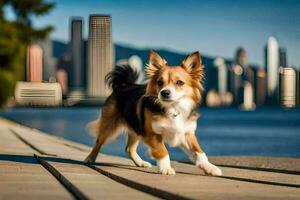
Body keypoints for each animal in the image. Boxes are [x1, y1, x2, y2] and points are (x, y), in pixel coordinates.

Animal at [84, 50, 223, 177]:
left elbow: (199, 152)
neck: (173, 108)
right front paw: (166, 168)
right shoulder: (151, 134)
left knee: (129, 148)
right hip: (110, 126)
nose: (164, 92)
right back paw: (90, 158)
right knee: (98, 142)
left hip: (136, 128)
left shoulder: (186, 133)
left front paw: (210, 167)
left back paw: (140, 163)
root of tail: (124, 85)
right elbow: (163, 151)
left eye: (179, 83)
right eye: (160, 82)